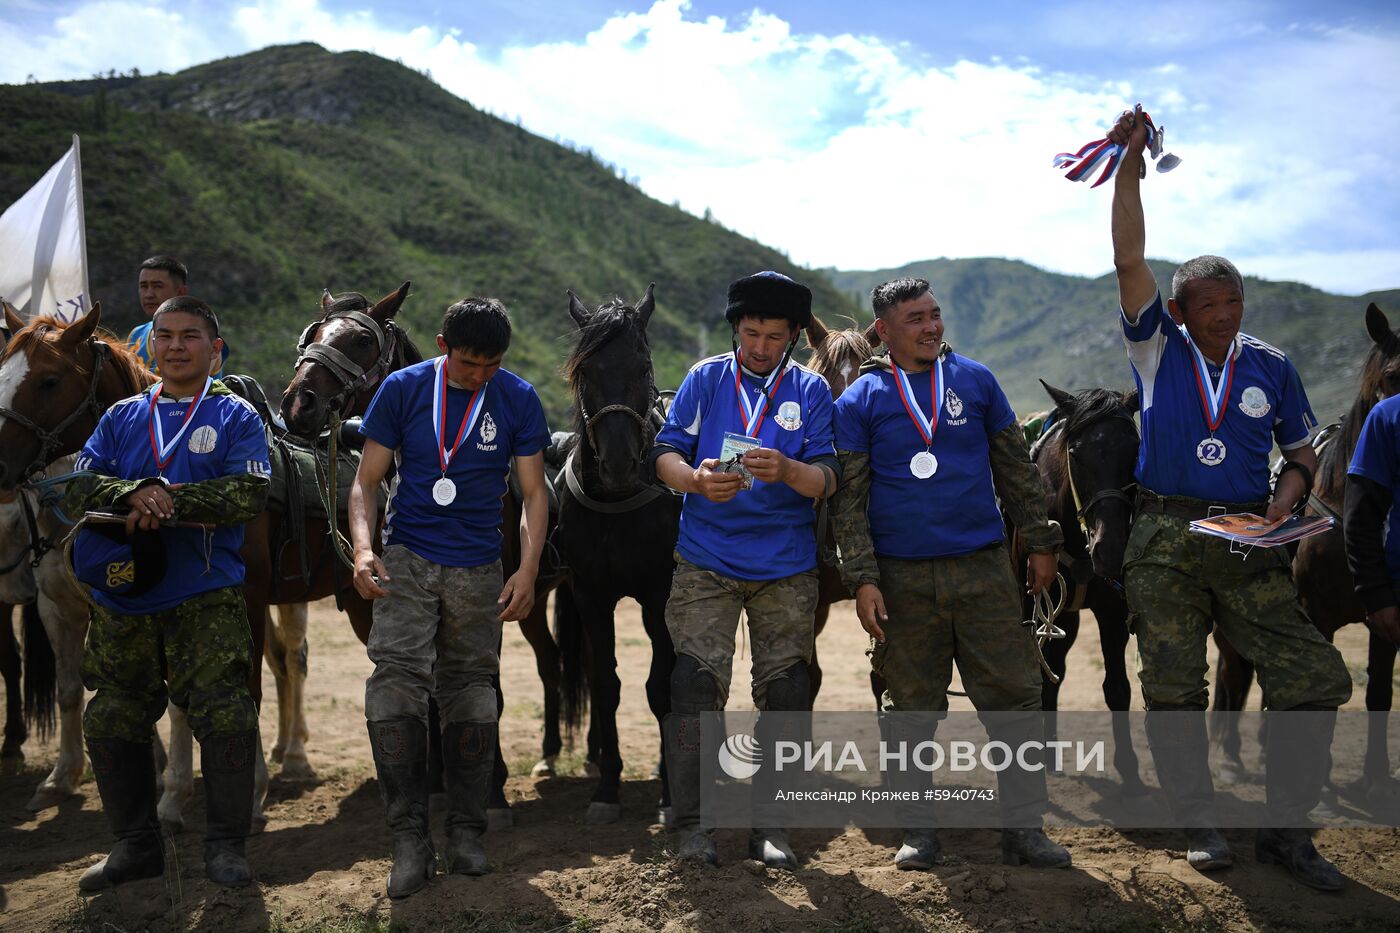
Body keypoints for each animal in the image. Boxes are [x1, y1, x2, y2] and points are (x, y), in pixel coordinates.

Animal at [1030, 381, 1148, 795]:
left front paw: (1130, 771)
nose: (1110, 548)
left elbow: (1117, 688)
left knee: (1055, 670)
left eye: (1135, 449)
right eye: (1076, 455)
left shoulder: (1111, 613)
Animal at [1215, 299, 1400, 806]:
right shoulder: (1319, 614)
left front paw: (1376, 778)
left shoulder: (1385, 618)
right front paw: (1321, 777)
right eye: (1392, 376)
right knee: (1234, 670)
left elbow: (1378, 693)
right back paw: (1233, 756)